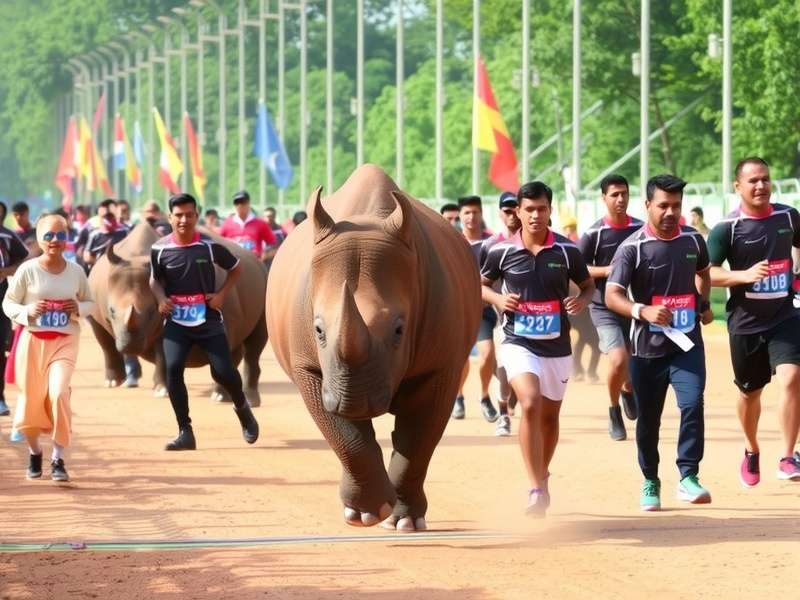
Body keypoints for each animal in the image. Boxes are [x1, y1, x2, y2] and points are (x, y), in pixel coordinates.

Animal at [86, 223, 268, 406]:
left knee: (251, 346)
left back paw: (239, 399)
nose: (131, 346)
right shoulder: (94, 314)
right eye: (111, 310)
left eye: (152, 312)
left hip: (264, 281)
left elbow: (165, 354)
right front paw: (112, 382)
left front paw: (161, 391)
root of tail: (258, 261)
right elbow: (106, 344)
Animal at [266, 165, 481, 531]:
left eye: (399, 330)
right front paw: (367, 513)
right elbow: (345, 436)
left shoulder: (441, 365)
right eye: (318, 329)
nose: (355, 401)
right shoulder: (310, 367)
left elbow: (419, 438)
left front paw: (402, 521)